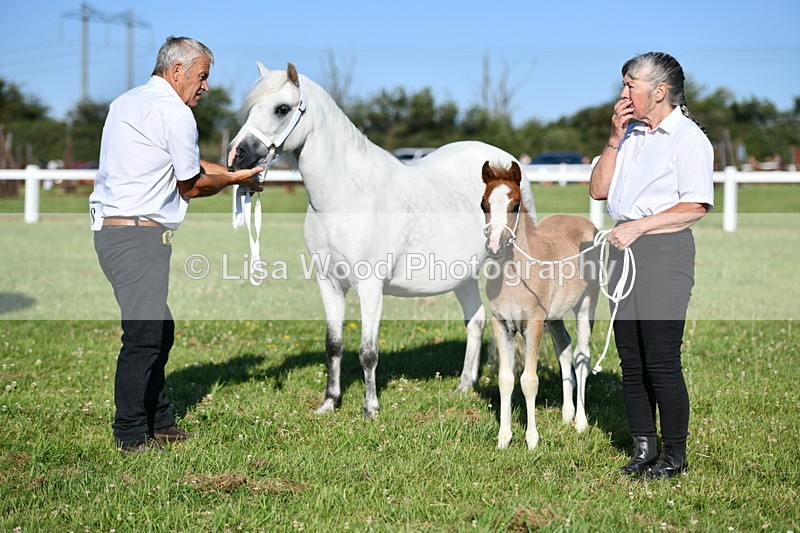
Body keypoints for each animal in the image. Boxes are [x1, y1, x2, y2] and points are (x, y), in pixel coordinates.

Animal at [226, 63, 537, 418]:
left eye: (282, 108)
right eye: (251, 108)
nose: (236, 155)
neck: (344, 197)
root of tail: (506, 164)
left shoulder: (370, 286)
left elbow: (368, 351)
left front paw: (370, 409)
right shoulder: (328, 282)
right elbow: (334, 345)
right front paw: (330, 403)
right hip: (464, 274)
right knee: (476, 321)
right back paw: (464, 387)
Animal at [481, 160, 600, 449]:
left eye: (514, 205)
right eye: (483, 204)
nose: (494, 246)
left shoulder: (532, 324)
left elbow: (529, 380)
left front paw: (532, 439)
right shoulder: (501, 324)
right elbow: (505, 379)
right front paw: (503, 438)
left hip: (586, 305)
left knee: (582, 356)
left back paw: (581, 422)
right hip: (554, 317)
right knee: (564, 350)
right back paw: (567, 414)